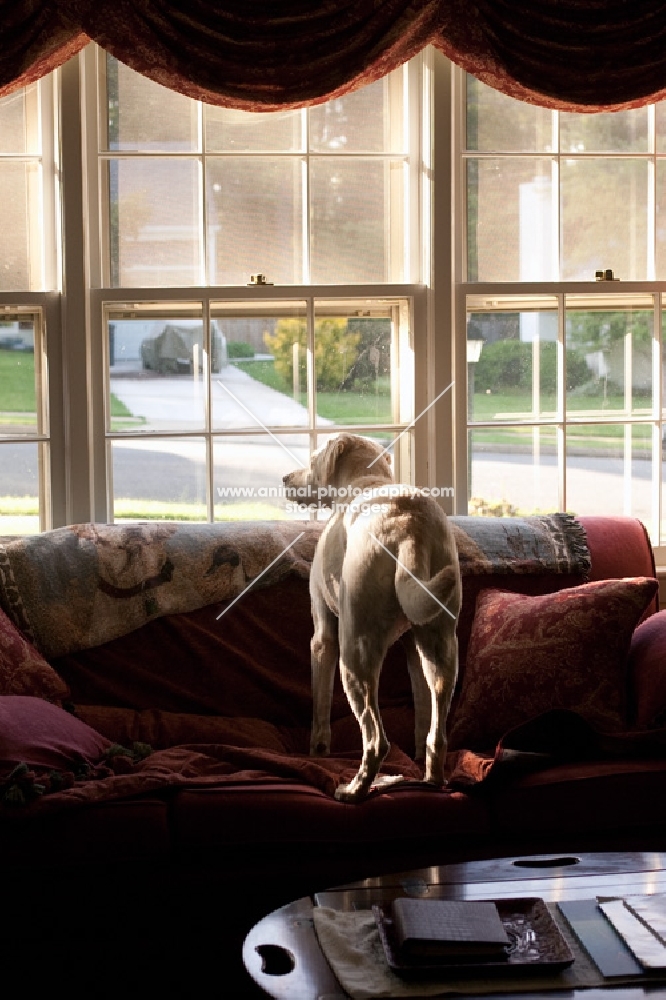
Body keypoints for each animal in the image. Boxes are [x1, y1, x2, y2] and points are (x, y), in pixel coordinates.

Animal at [282, 434, 460, 800]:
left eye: (313, 460)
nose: (284, 479)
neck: (366, 479)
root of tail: (409, 529)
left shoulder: (322, 637)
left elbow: (320, 710)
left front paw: (317, 752)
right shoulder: (412, 648)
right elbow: (421, 713)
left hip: (354, 654)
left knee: (376, 739)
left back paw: (354, 790)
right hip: (441, 646)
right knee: (437, 732)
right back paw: (431, 779)